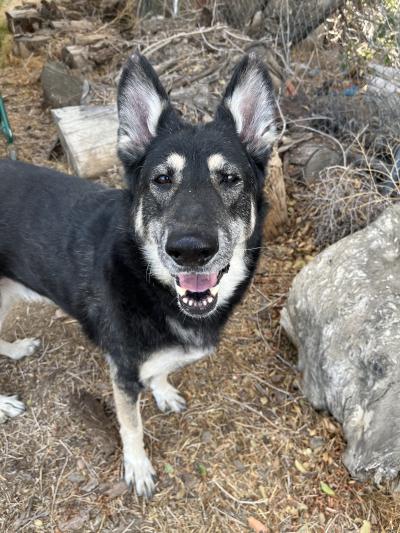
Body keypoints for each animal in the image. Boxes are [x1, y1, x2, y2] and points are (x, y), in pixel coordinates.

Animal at [0, 53, 276, 494]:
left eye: (230, 178)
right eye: (161, 179)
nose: (190, 251)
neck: (151, 285)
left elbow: (161, 369)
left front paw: (162, 391)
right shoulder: (123, 372)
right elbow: (131, 425)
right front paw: (138, 467)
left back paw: (14, 350)